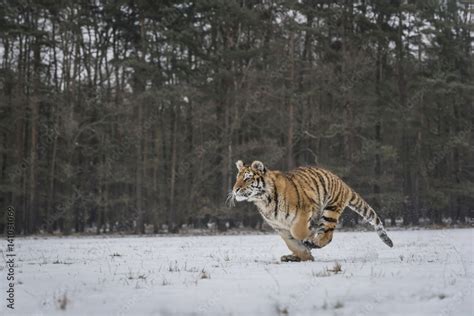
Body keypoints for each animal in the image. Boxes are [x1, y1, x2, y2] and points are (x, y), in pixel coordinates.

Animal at [231, 160, 394, 262]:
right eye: (237, 178)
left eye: (247, 178)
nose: (235, 189)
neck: (264, 201)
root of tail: (341, 182)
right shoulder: (280, 227)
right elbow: (292, 243)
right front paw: (305, 256)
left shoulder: (304, 211)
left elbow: (298, 232)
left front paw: (308, 240)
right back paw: (292, 256)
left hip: (330, 210)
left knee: (327, 236)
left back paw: (313, 242)